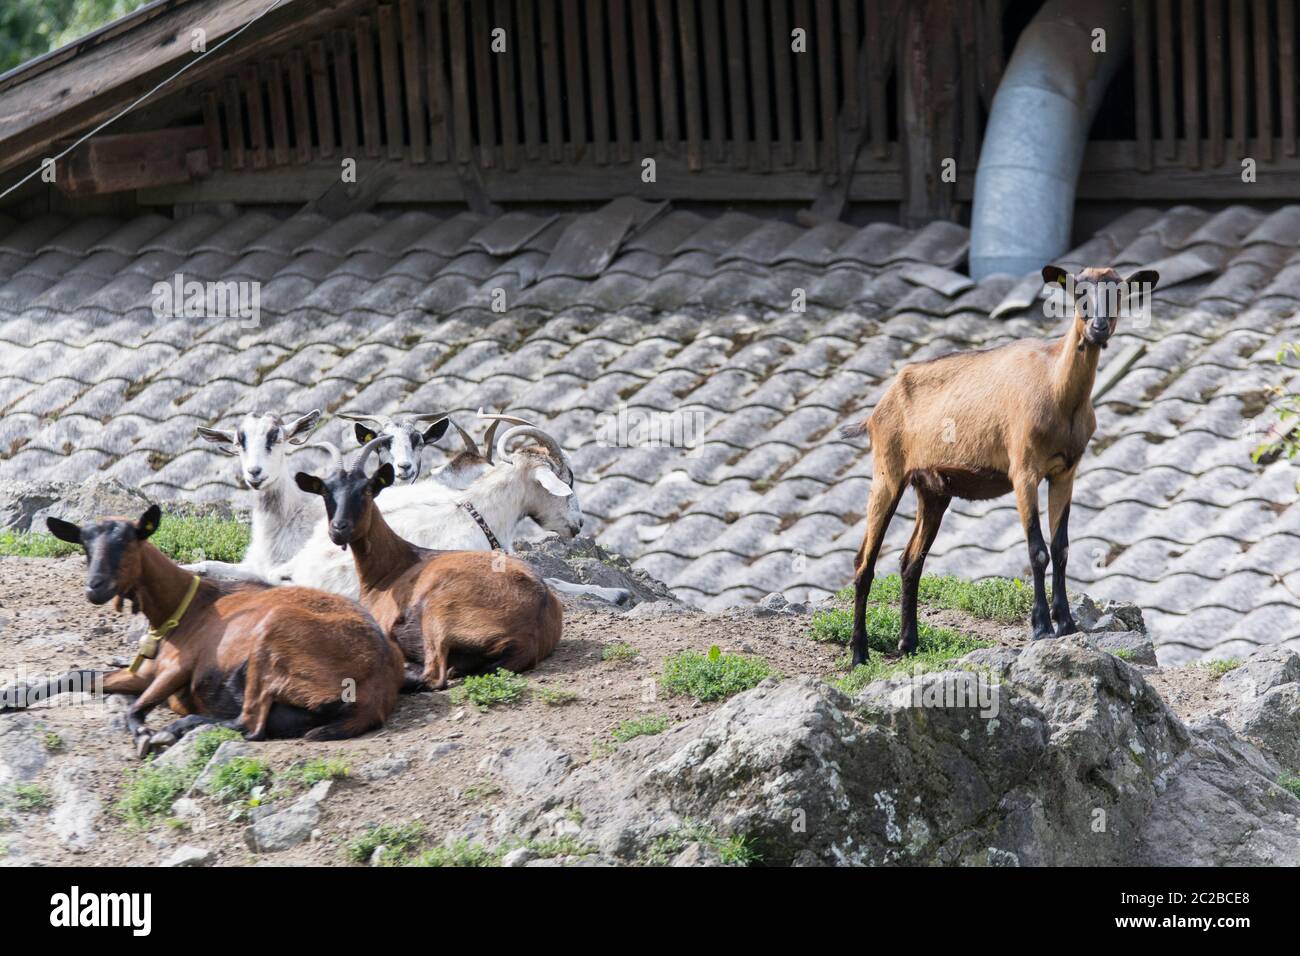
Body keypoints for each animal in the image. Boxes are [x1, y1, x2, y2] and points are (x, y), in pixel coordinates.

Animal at [1, 504, 405, 759]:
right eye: (85, 547)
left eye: (127, 542)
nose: (94, 588)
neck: (183, 608)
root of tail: (380, 681)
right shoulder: (144, 673)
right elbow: (79, 675)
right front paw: (11, 697)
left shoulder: (178, 669)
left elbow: (135, 711)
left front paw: (146, 736)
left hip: (272, 638)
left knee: (249, 723)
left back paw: (181, 727)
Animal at [299, 437, 564, 691]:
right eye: (326, 492)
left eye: (366, 491)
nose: (338, 529)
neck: (391, 568)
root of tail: (532, 628)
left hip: (438, 614)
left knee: (434, 676)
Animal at [842, 261, 1159, 665]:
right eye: (1077, 292)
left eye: (1120, 293)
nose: (1098, 328)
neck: (1058, 390)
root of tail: (876, 410)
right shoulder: (1024, 470)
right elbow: (1037, 550)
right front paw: (1041, 628)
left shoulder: (1065, 472)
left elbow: (1061, 547)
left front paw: (1067, 624)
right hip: (887, 472)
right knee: (864, 562)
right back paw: (859, 654)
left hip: (933, 489)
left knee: (910, 561)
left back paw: (908, 643)